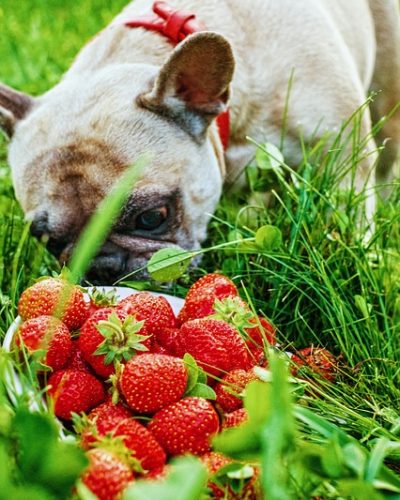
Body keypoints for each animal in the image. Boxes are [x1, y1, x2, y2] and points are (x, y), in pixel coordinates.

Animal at [0, 0, 400, 282]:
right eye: (47, 241)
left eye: (151, 218)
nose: (101, 267)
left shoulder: (343, 157)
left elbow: (350, 216)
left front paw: (359, 260)